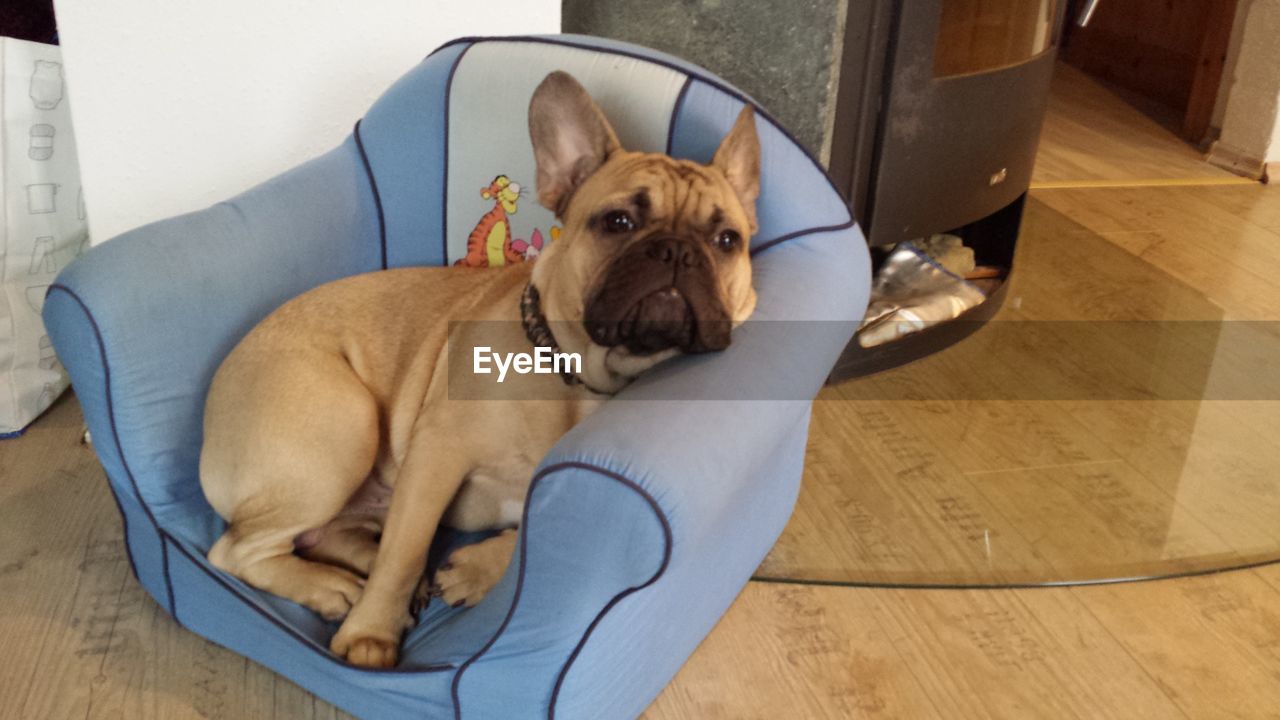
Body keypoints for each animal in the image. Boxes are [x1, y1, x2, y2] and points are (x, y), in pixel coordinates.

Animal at [199, 70, 757, 666]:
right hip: (342, 430)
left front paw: (474, 568)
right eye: (618, 221)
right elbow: (404, 552)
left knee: (330, 534)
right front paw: (371, 635)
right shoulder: (437, 454)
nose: (677, 251)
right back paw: (332, 588)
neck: (575, 374)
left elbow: (527, 532)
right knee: (236, 550)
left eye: (728, 240)